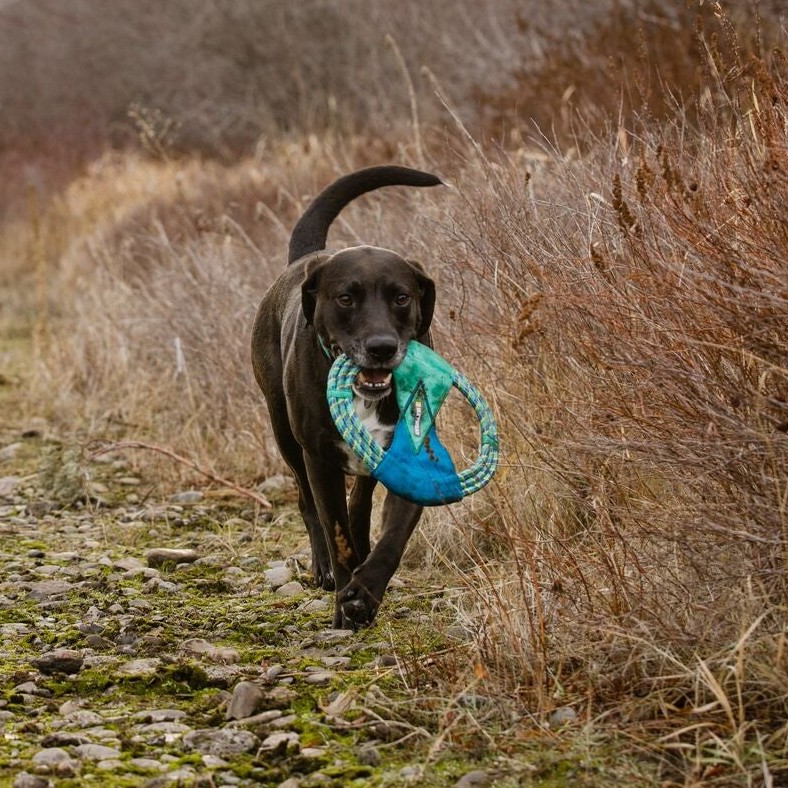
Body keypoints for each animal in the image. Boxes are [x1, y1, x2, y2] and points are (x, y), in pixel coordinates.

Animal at [255, 166, 446, 628]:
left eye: (402, 297)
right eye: (345, 298)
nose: (381, 347)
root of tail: (306, 259)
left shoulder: (409, 459)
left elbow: (392, 536)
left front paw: (365, 592)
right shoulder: (319, 459)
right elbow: (335, 529)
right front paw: (345, 596)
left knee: (359, 505)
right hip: (285, 434)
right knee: (309, 505)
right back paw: (325, 570)